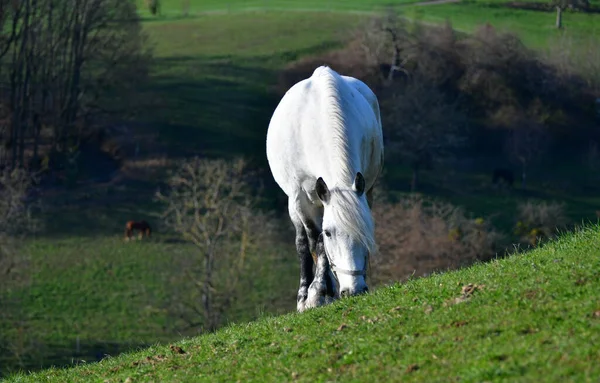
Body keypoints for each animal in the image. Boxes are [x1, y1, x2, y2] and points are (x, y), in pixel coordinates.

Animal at [266, 66, 384, 312]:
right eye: (330, 232)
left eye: (366, 231)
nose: (354, 289)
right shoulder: (301, 199)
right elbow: (314, 239)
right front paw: (317, 293)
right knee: (302, 242)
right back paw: (305, 294)